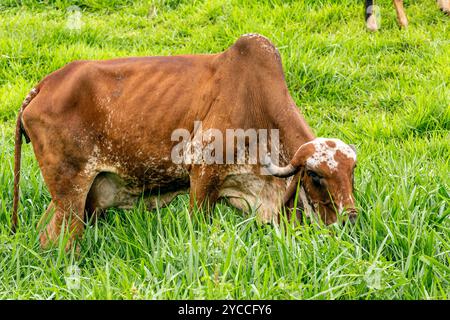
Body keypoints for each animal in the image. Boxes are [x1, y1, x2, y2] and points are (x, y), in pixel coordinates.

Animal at [11, 33, 358, 249]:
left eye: (351, 173)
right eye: (315, 176)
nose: (350, 217)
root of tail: (43, 86)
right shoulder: (202, 176)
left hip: (79, 196)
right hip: (70, 192)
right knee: (59, 241)